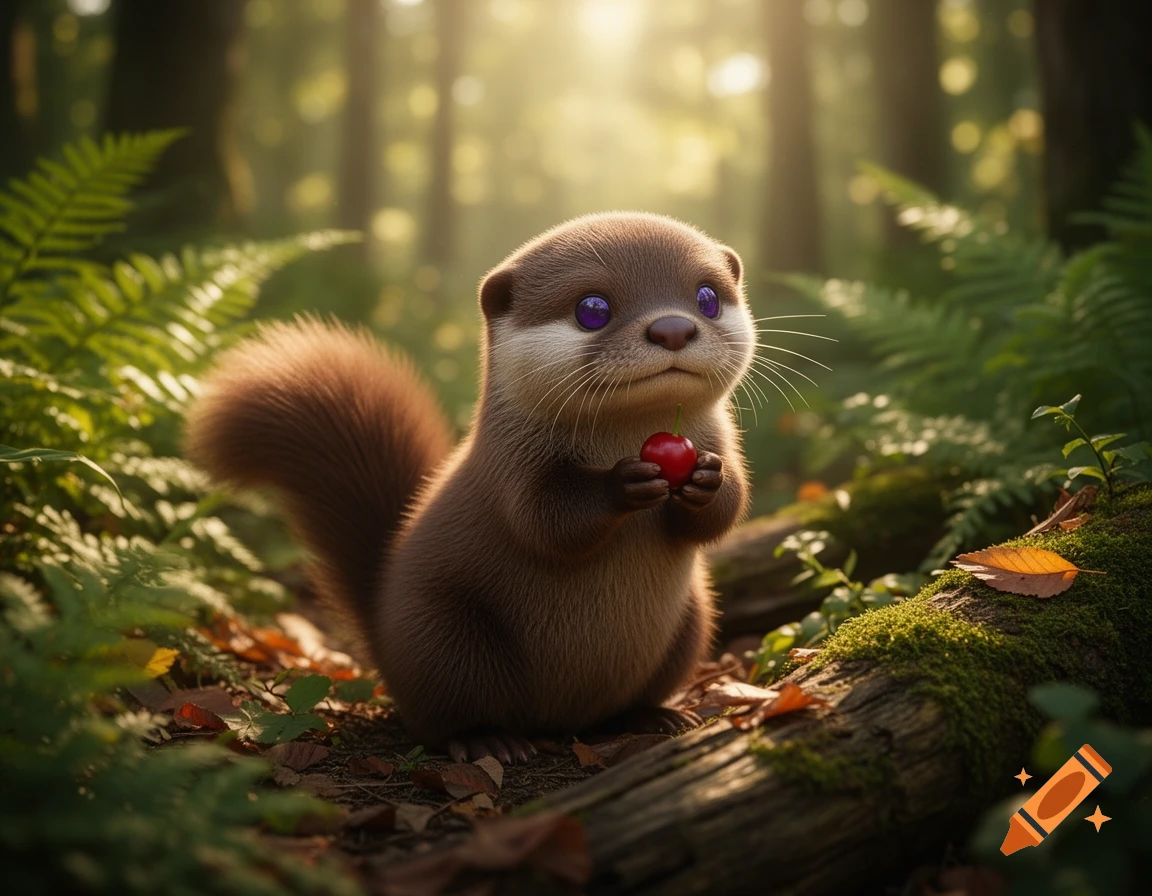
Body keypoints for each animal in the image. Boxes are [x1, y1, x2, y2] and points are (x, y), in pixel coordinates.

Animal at [185, 212, 756, 762]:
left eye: (706, 297)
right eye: (592, 308)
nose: (673, 327)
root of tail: (382, 629)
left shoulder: (723, 441)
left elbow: (727, 511)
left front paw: (705, 479)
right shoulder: (508, 466)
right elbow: (547, 521)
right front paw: (625, 482)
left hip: (693, 620)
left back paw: (655, 716)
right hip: (448, 638)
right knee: (444, 720)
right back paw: (491, 742)